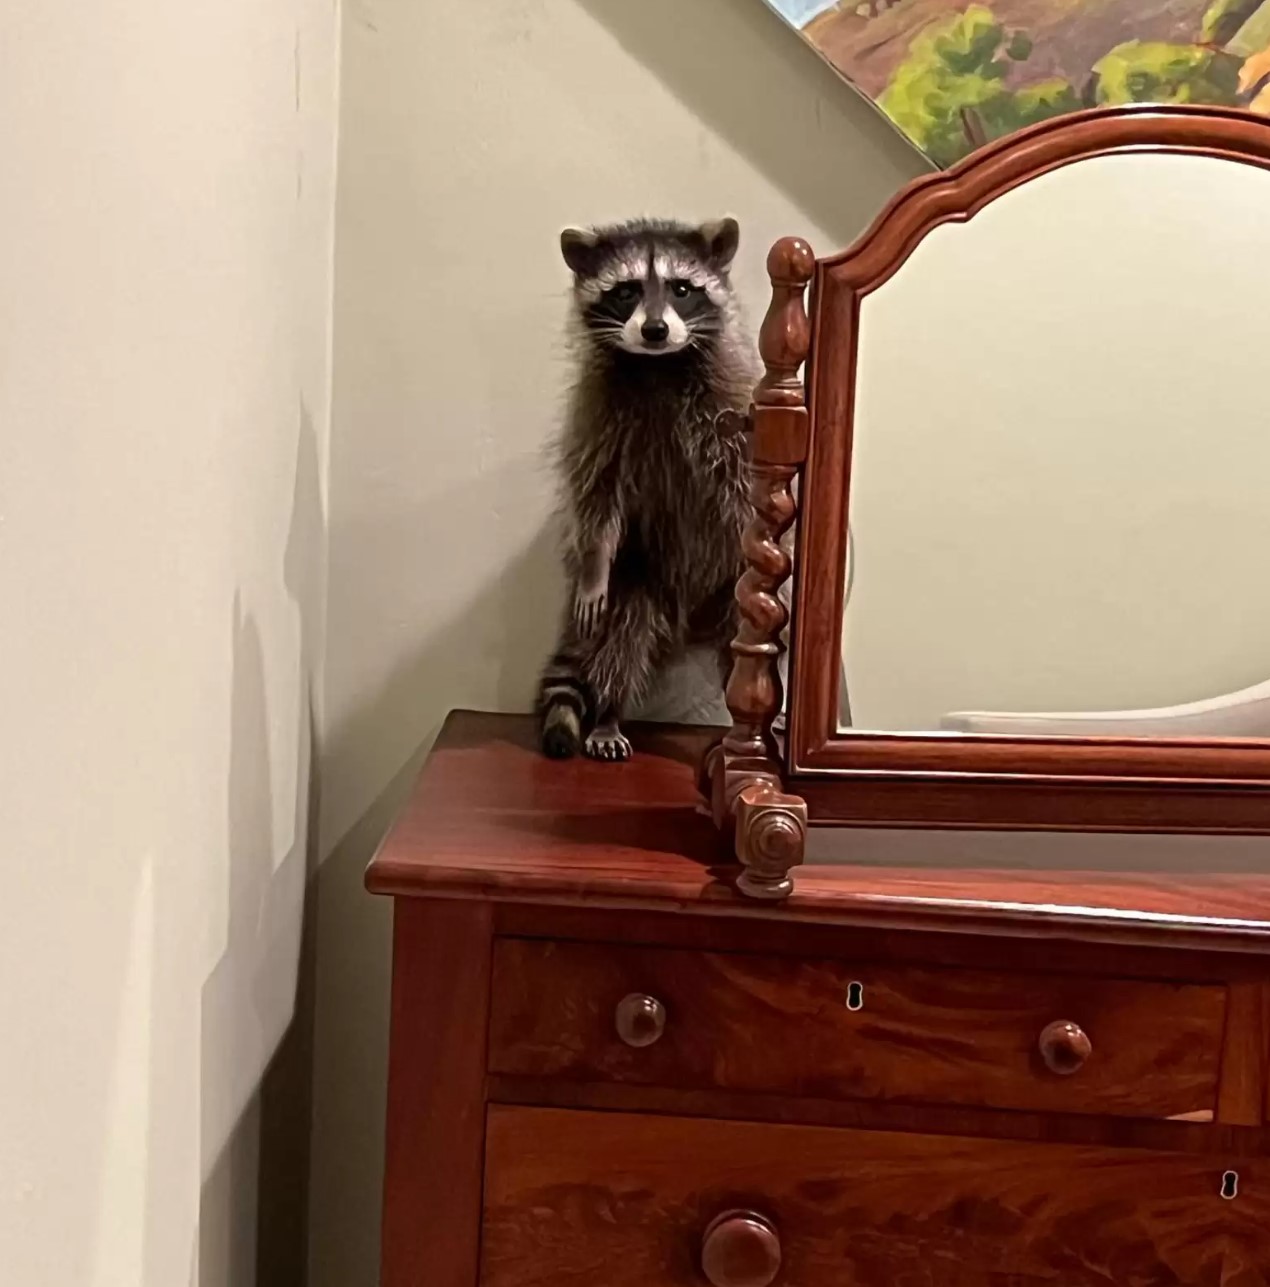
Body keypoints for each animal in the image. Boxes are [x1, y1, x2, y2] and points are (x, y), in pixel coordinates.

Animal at [537, 217, 758, 761]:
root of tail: (689, 620)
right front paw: (593, 560)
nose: (655, 330)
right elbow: (596, 495)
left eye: (681, 289)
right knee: (622, 638)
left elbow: (749, 488)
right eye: (627, 291)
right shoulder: (599, 415)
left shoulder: (734, 403)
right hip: (639, 570)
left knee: (741, 648)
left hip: (728, 593)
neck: (659, 364)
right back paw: (609, 715)